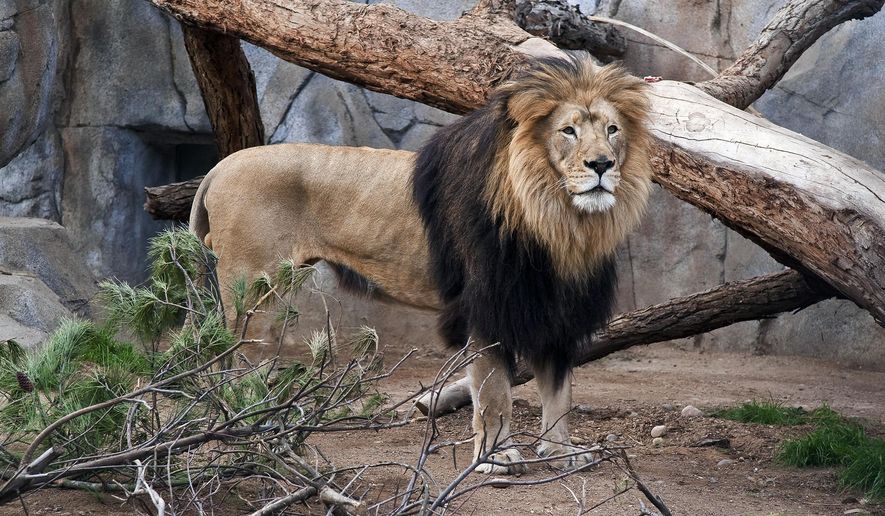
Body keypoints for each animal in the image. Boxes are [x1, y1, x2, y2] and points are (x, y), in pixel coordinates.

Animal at [190, 54, 653, 475]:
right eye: (567, 131)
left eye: (612, 130)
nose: (602, 164)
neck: (561, 222)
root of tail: (218, 167)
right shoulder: (484, 310)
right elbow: (494, 395)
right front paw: (495, 457)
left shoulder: (556, 313)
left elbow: (559, 395)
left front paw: (562, 452)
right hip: (255, 291)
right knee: (233, 364)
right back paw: (254, 435)